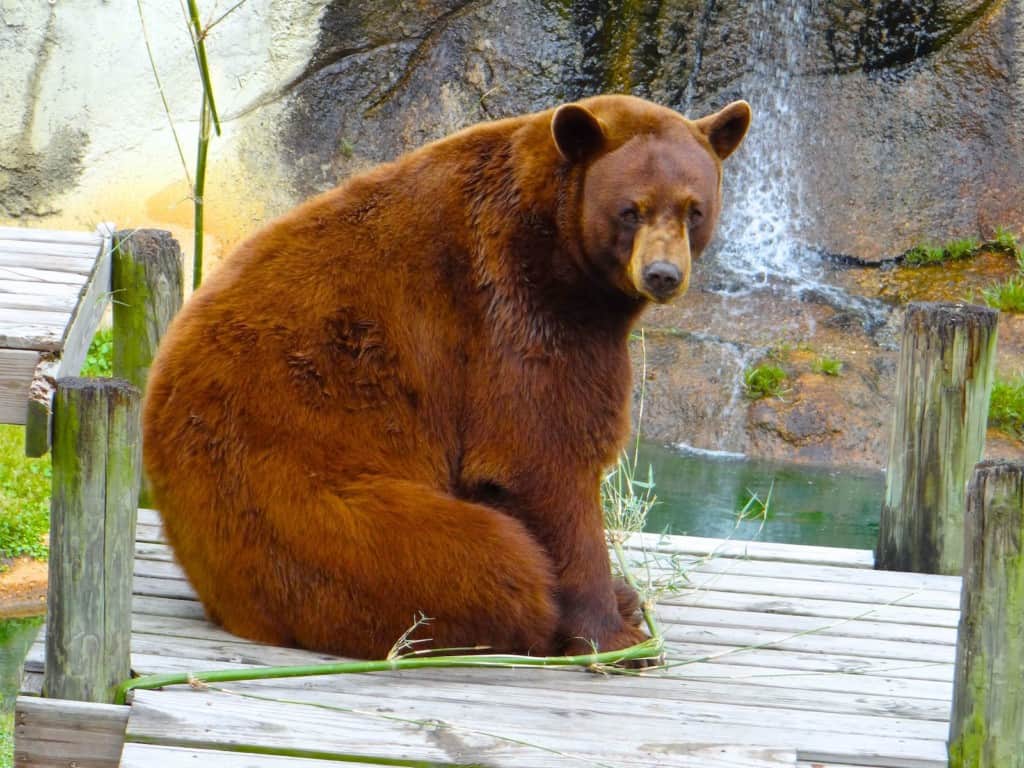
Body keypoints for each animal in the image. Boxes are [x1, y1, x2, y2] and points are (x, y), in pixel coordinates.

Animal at [142, 94, 753, 663]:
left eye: (694, 210)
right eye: (631, 210)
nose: (662, 273)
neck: (559, 248)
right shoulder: (514, 314)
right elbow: (543, 458)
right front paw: (618, 638)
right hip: (301, 507)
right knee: (484, 557)